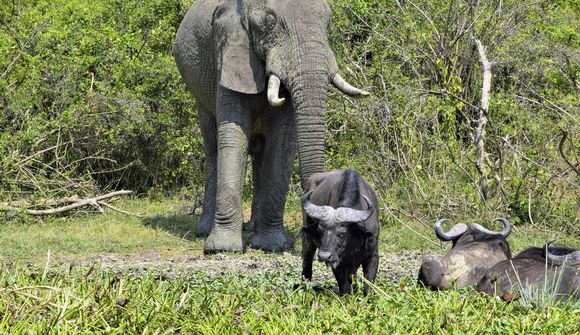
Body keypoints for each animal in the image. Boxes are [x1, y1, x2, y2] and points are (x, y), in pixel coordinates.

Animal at [172, 0, 370, 253]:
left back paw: (253, 229)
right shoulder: (227, 50)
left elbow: (282, 142)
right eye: (270, 22)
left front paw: (273, 245)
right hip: (198, 90)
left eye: (328, 21)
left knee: (261, 153)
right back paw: (204, 231)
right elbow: (233, 135)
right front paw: (222, 248)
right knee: (212, 146)